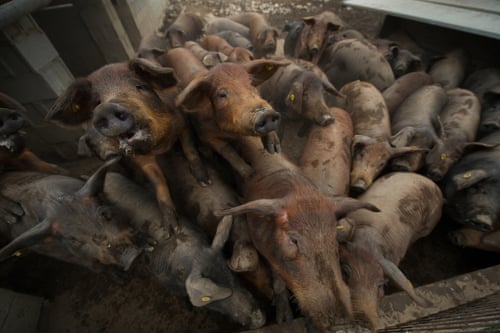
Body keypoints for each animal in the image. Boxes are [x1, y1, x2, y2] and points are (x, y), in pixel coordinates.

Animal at [0, 158, 146, 272]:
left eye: (105, 214)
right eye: (73, 239)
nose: (131, 256)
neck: (53, 201)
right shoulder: (49, 250)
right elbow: (91, 264)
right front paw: (120, 279)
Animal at [47, 57, 209, 228]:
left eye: (139, 86)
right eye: (96, 103)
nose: (105, 108)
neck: (160, 144)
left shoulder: (183, 122)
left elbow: (190, 149)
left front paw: (204, 182)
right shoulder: (139, 158)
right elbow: (157, 181)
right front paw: (171, 228)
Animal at [104, 170, 268, 328]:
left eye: (232, 276)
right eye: (214, 295)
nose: (259, 319)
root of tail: (108, 176)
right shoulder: (163, 279)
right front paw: (189, 307)